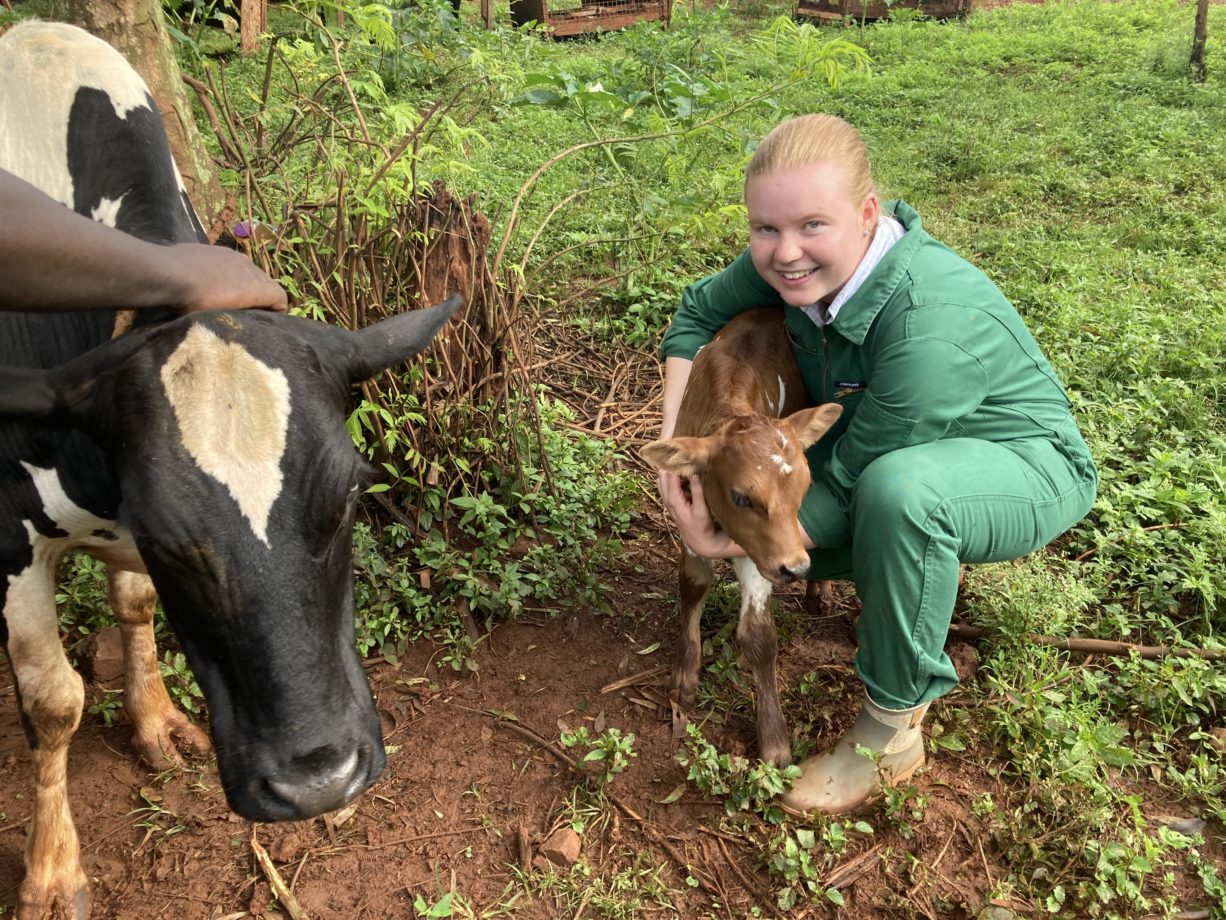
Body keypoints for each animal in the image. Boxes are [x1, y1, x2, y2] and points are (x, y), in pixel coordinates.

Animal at [0, 21, 460, 920]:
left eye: (349, 496)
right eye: (171, 536)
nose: (318, 782)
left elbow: (134, 604)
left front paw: (152, 721)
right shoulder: (9, 531)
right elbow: (55, 702)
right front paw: (51, 872)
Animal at [647, 306, 838, 765]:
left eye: (804, 487)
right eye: (741, 496)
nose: (797, 567)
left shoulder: (763, 552)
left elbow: (759, 635)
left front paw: (775, 740)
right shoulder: (690, 513)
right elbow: (693, 583)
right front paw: (685, 673)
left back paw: (820, 590)